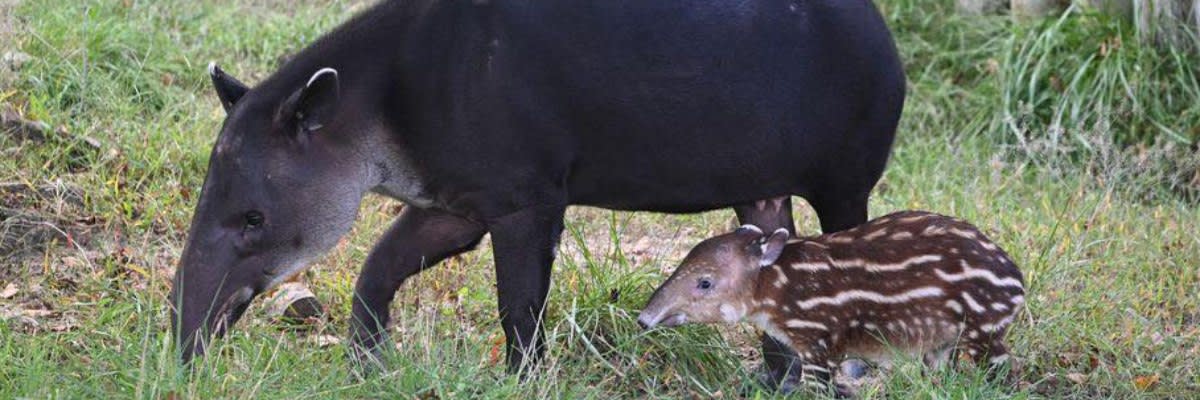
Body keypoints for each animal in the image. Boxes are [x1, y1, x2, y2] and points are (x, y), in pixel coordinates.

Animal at [169, 0, 902, 384]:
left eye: (253, 218)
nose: (184, 344)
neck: (380, 109)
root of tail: (886, 38)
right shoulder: (460, 194)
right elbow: (381, 265)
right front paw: (368, 364)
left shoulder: (525, 195)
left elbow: (518, 302)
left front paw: (523, 380)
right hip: (761, 179)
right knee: (770, 232)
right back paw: (775, 382)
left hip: (846, 166)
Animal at [638, 210, 1022, 393]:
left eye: (705, 283)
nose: (644, 319)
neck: (776, 286)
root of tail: (1016, 279)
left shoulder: (818, 340)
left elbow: (817, 388)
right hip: (941, 338)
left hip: (982, 328)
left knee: (1001, 370)